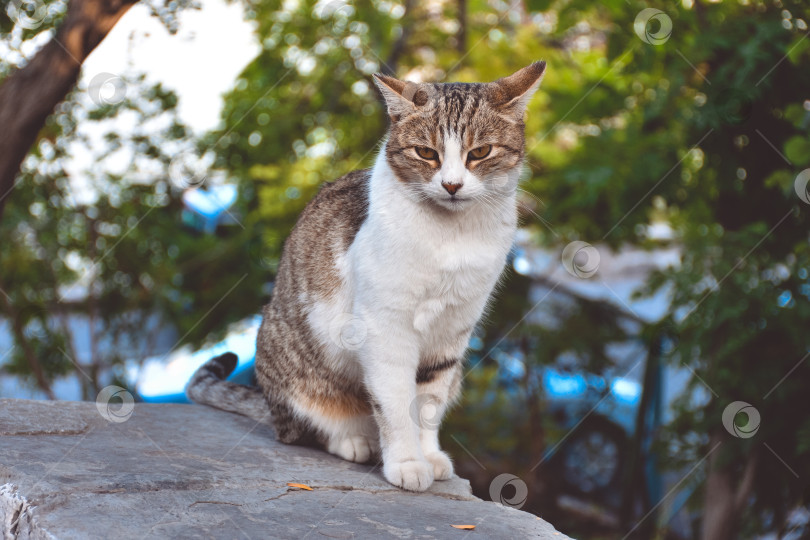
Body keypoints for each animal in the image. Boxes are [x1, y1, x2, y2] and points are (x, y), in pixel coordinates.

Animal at [186, 61, 548, 492]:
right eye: (426, 153)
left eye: (479, 152)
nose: (452, 185)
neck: (452, 235)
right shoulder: (385, 328)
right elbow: (395, 403)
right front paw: (407, 462)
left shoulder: (452, 332)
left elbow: (428, 403)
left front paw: (427, 454)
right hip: (295, 375)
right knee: (300, 430)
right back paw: (355, 441)